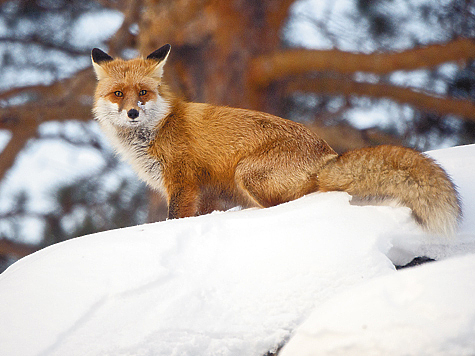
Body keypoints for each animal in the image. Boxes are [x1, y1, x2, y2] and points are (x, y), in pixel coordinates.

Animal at [91, 43, 462, 236]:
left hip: (247, 174)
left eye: (143, 93)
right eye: (118, 94)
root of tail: (327, 156)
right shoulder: (204, 193)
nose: (132, 113)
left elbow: (174, 220)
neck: (157, 128)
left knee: (293, 203)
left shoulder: (183, 182)